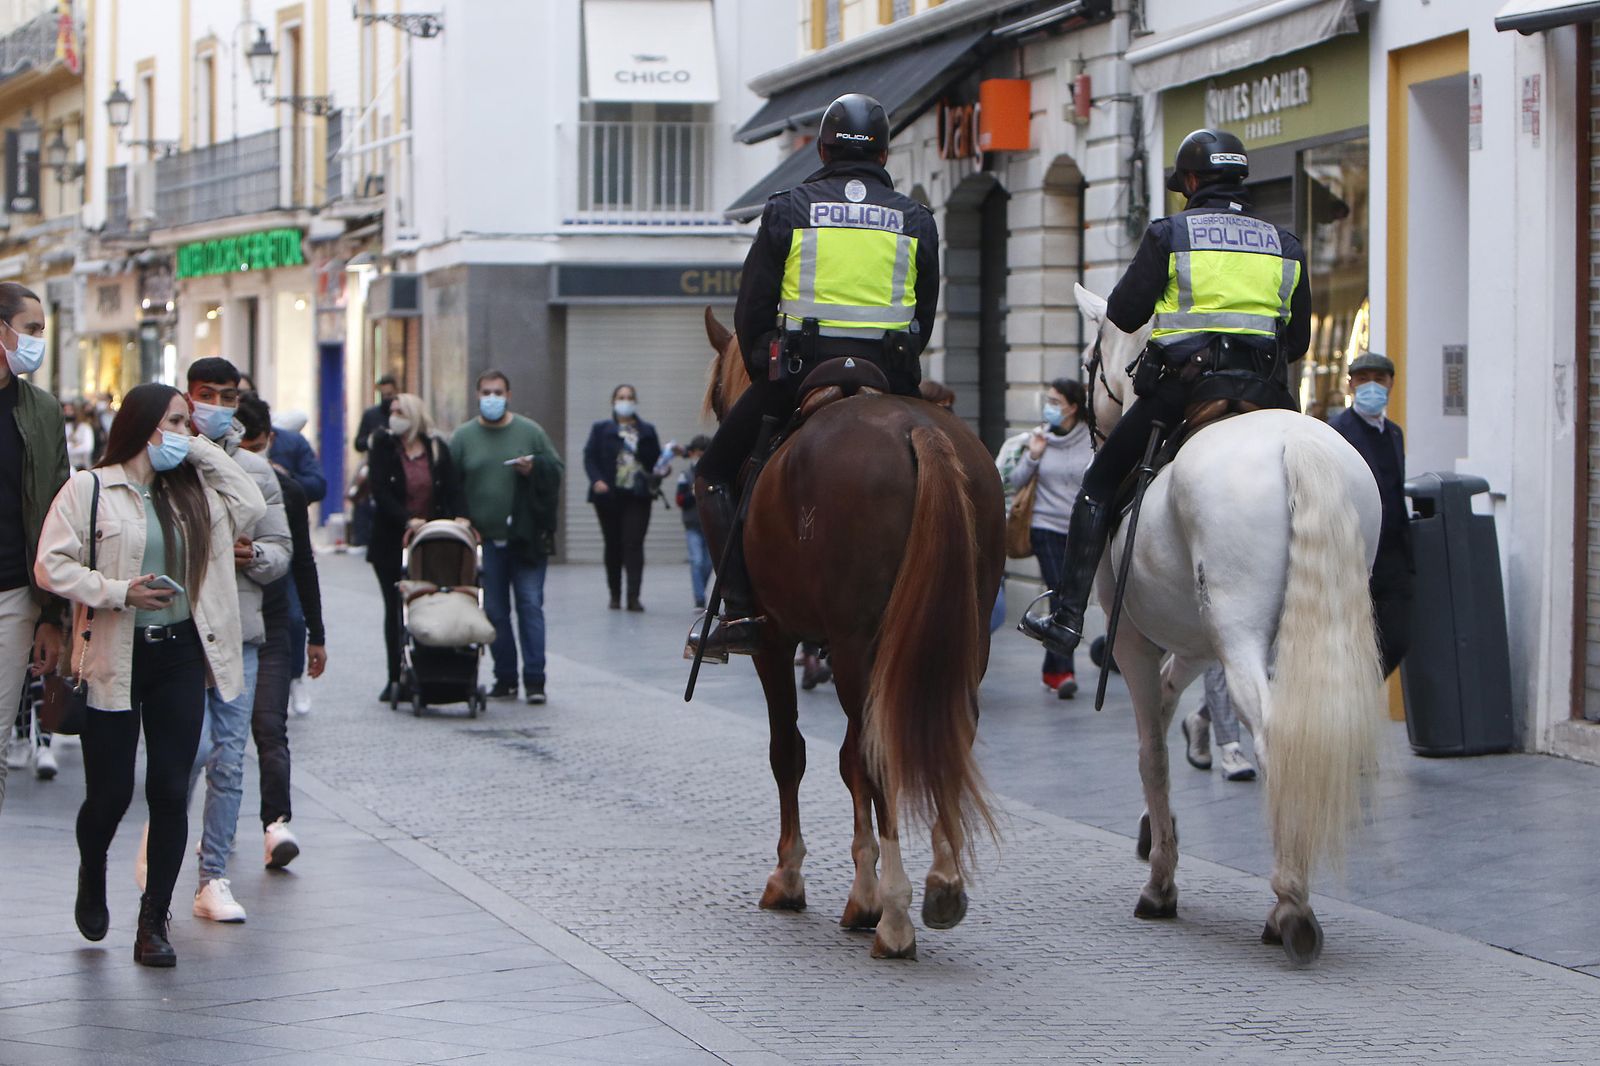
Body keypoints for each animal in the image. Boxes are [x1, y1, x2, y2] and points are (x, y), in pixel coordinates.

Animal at [698, 308, 1005, 959]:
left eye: (715, 393)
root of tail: (919, 432)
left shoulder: (778, 641)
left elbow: (790, 752)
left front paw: (794, 878)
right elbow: (847, 761)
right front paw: (860, 891)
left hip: (853, 645)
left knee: (879, 748)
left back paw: (897, 917)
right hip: (957, 641)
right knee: (945, 730)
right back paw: (943, 883)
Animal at [1074, 282, 1385, 965]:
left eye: (1089, 360)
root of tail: (1296, 447)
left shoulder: (1132, 640)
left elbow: (1151, 749)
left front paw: (1161, 878)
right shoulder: (1195, 644)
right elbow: (1168, 706)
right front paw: (1156, 833)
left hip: (1240, 638)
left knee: (1274, 737)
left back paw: (1291, 904)